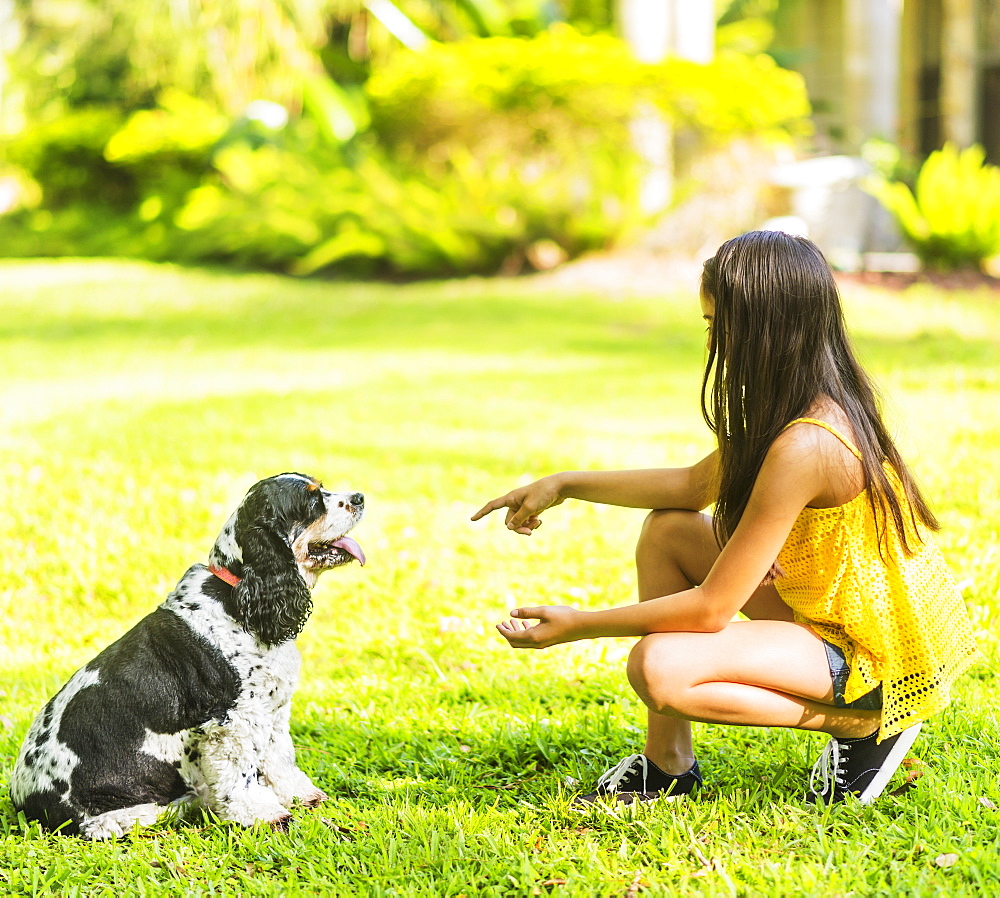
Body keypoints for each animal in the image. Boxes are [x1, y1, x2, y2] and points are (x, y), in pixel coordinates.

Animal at [10, 472, 364, 836]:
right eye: (312, 501)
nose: (360, 497)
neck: (237, 595)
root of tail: (25, 805)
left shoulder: (272, 713)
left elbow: (280, 759)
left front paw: (301, 795)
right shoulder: (231, 722)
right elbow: (241, 777)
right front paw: (265, 815)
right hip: (122, 811)